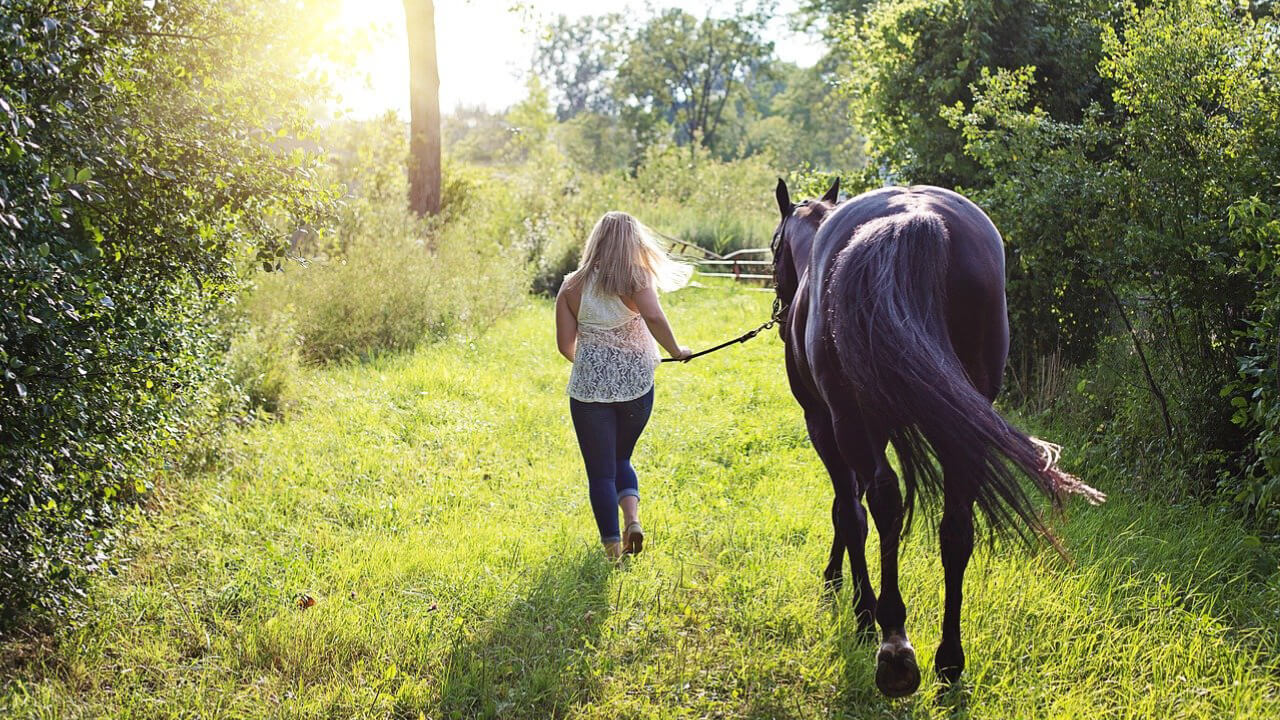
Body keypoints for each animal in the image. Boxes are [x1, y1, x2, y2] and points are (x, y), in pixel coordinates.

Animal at [770, 178, 1104, 697]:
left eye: (772, 248)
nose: (781, 308)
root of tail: (914, 218)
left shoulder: (824, 424)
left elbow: (847, 510)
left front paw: (855, 604)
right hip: (960, 428)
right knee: (956, 529)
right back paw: (949, 660)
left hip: (851, 422)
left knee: (883, 503)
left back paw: (894, 644)